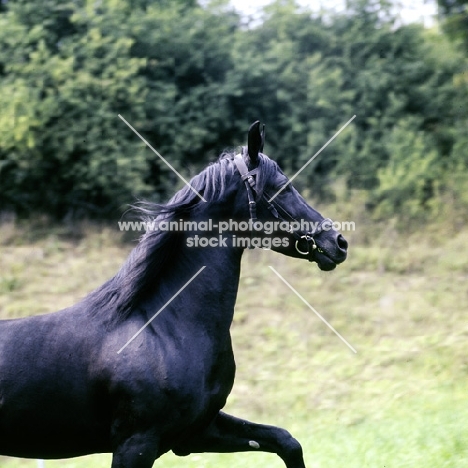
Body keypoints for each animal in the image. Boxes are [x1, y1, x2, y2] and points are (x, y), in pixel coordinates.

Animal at [0, 122, 344, 466]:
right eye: (282, 188)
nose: (338, 242)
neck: (167, 329)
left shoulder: (198, 431)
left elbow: (286, 441)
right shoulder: (136, 444)